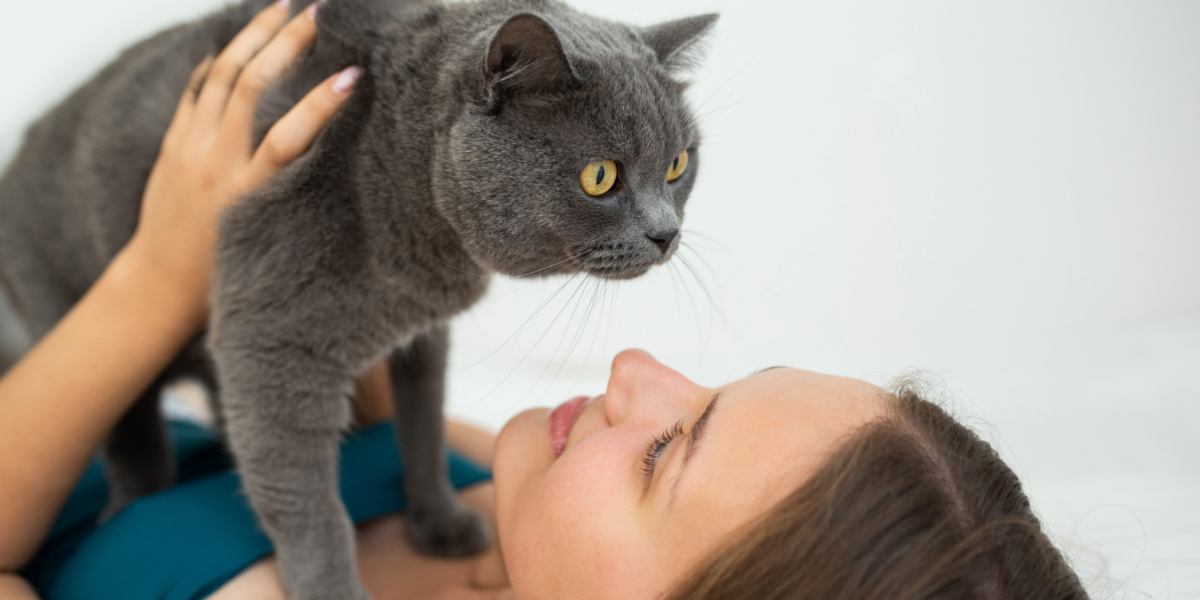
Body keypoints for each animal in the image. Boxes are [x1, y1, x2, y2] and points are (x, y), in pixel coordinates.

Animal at [0, 0, 710, 595]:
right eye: (601, 177)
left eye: (678, 165)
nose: (666, 233)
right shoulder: (273, 342)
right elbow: (310, 506)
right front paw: (331, 588)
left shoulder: (423, 334)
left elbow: (422, 426)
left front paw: (439, 520)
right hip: (67, 293)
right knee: (131, 421)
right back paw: (137, 499)